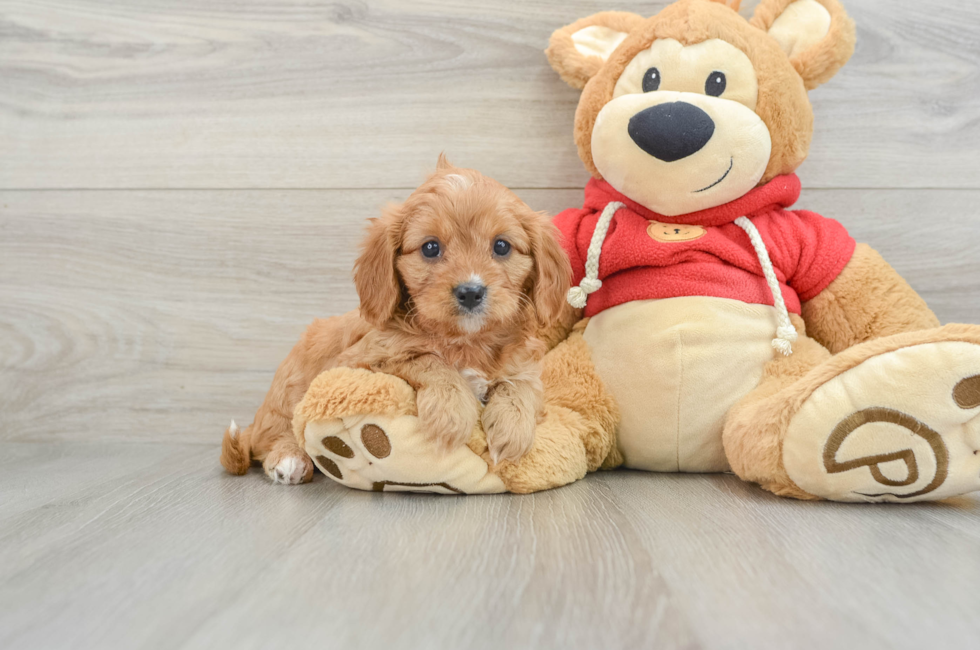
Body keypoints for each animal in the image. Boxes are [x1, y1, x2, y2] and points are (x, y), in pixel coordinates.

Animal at [220, 156, 576, 480]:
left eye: (501, 246)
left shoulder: (524, 364)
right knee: (276, 435)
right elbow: (428, 361)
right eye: (430, 248)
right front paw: (451, 414)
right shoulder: (357, 361)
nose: (471, 292)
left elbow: (522, 387)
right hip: (288, 391)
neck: (466, 341)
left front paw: (511, 430)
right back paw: (290, 460)